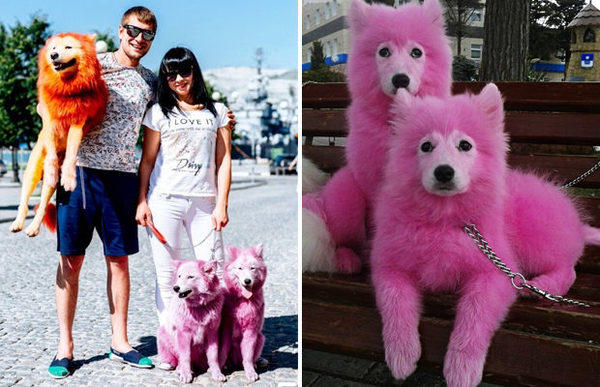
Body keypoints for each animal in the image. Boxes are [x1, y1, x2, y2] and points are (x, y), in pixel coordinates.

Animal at [9, 33, 108, 236]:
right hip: (32, 171)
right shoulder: (48, 120)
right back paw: (18, 223)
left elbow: (71, 152)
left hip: (49, 186)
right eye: (53, 48)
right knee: (24, 202)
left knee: (43, 206)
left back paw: (33, 228)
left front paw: (70, 179)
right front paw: (52, 165)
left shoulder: (77, 125)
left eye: (68, 47)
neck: (67, 87)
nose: (53, 55)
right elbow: (51, 148)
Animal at [219, 246, 266, 382]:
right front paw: (218, 368)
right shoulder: (226, 328)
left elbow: (248, 356)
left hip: (260, 338)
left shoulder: (251, 330)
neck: (243, 300)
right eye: (240, 268)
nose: (247, 281)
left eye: (252, 268)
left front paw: (250, 372)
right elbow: (223, 352)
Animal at [302, 0, 452, 274]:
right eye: (384, 52)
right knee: (337, 241)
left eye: (416, 52)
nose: (401, 79)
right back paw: (348, 259)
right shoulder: (373, 184)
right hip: (346, 198)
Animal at [372, 84, 596, 387]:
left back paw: (539, 285)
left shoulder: (494, 274)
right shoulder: (390, 266)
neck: (446, 220)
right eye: (425, 146)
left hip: (537, 239)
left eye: (465, 145)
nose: (444, 172)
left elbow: (474, 316)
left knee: (567, 270)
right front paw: (401, 354)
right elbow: (394, 304)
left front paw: (461, 367)